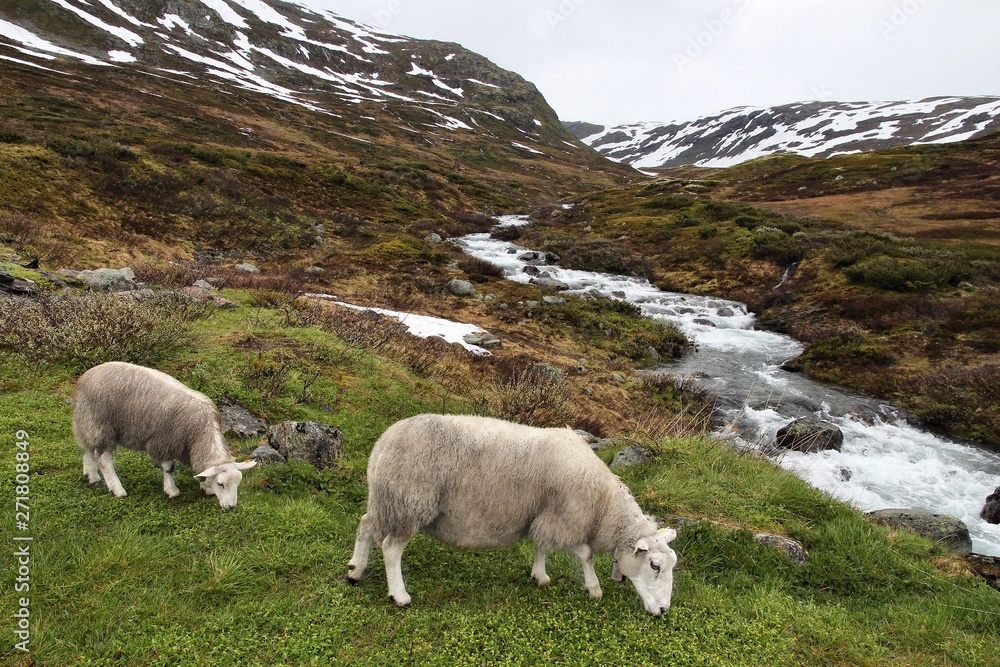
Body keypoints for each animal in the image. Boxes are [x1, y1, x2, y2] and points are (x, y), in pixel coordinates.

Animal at [72, 361, 256, 508]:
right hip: (101, 426)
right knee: (103, 459)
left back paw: (91, 475)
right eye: (221, 484)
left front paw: (205, 487)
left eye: (238, 483)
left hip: (86, 423)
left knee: (86, 448)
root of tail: (85, 377)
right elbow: (169, 468)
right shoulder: (164, 441)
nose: (231, 507)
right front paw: (172, 490)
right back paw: (117, 489)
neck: (200, 433)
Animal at [347, 414, 678, 615]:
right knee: (390, 548)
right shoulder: (566, 517)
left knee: (365, 526)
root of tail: (383, 444)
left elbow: (541, 545)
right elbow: (585, 554)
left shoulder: (545, 515)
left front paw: (540, 575)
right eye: (655, 565)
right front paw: (594, 588)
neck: (603, 504)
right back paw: (399, 595)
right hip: (410, 503)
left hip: (385, 501)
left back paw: (355, 570)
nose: (663, 611)